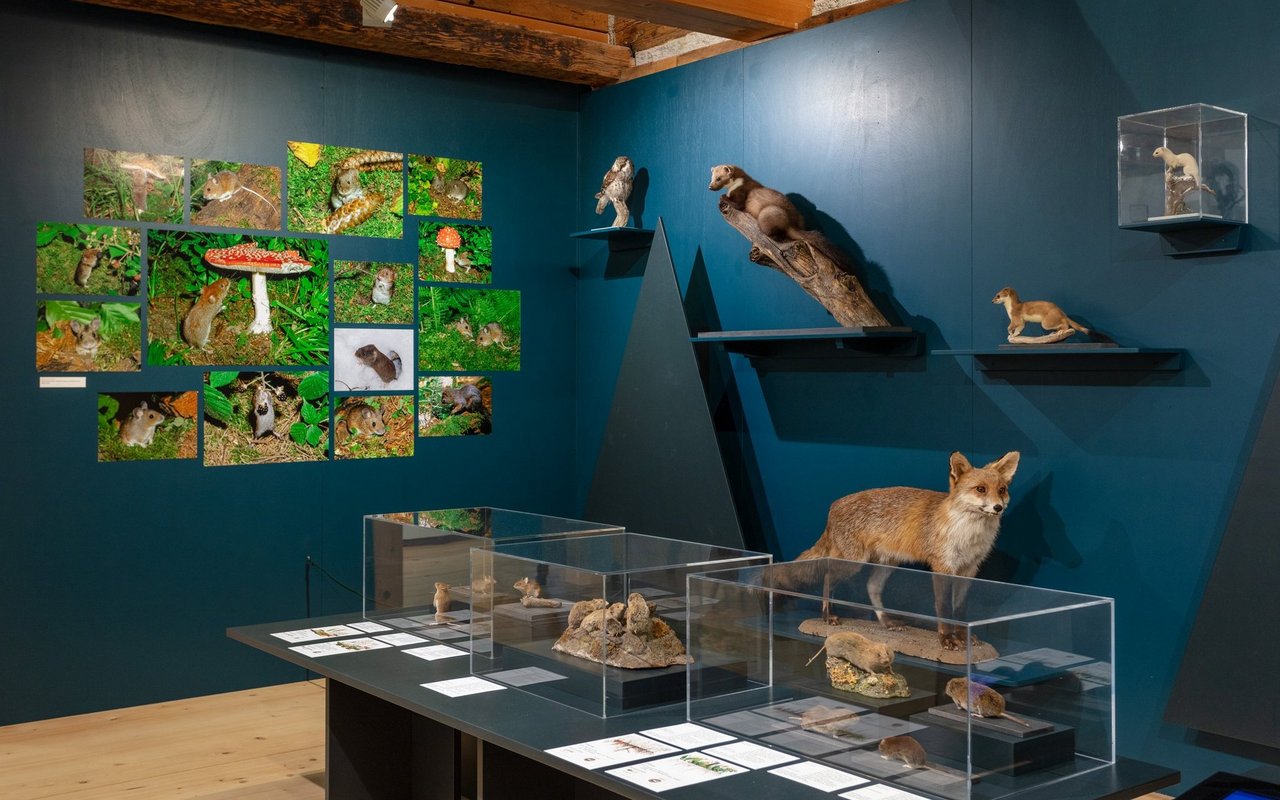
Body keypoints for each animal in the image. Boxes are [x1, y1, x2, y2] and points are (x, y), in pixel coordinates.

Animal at [798, 450, 1018, 650]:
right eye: (981, 489)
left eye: (1002, 490)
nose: (998, 507)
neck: (968, 535)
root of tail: (833, 505)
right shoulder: (943, 566)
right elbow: (944, 607)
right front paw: (947, 639)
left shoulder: (969, 569)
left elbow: (961, 609)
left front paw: (964, 637)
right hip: (853, 563)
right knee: (828, 576)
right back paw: (827, 616)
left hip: (887, 564)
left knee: (871, 586)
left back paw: (886, 623)